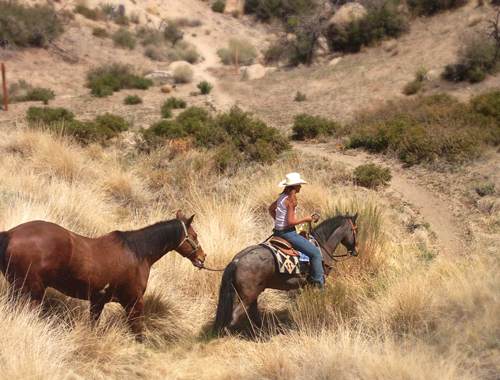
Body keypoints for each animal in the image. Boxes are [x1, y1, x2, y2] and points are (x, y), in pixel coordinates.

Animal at [0, 211, 205, 342]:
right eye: (194, 235)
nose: (202, 258)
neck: (137, 252)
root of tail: (10, 233)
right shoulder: (134, 302)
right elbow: (137, 333)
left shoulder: (98, 301)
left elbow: (93, 325)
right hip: (32, 293)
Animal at [213, 214, 358, 332]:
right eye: (356, 230)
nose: (356, 250)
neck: (321, 247)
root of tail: (237, 260)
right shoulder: (317, 281)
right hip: (247, 297)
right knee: (234, 317)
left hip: (251, 295)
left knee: (252, 314)